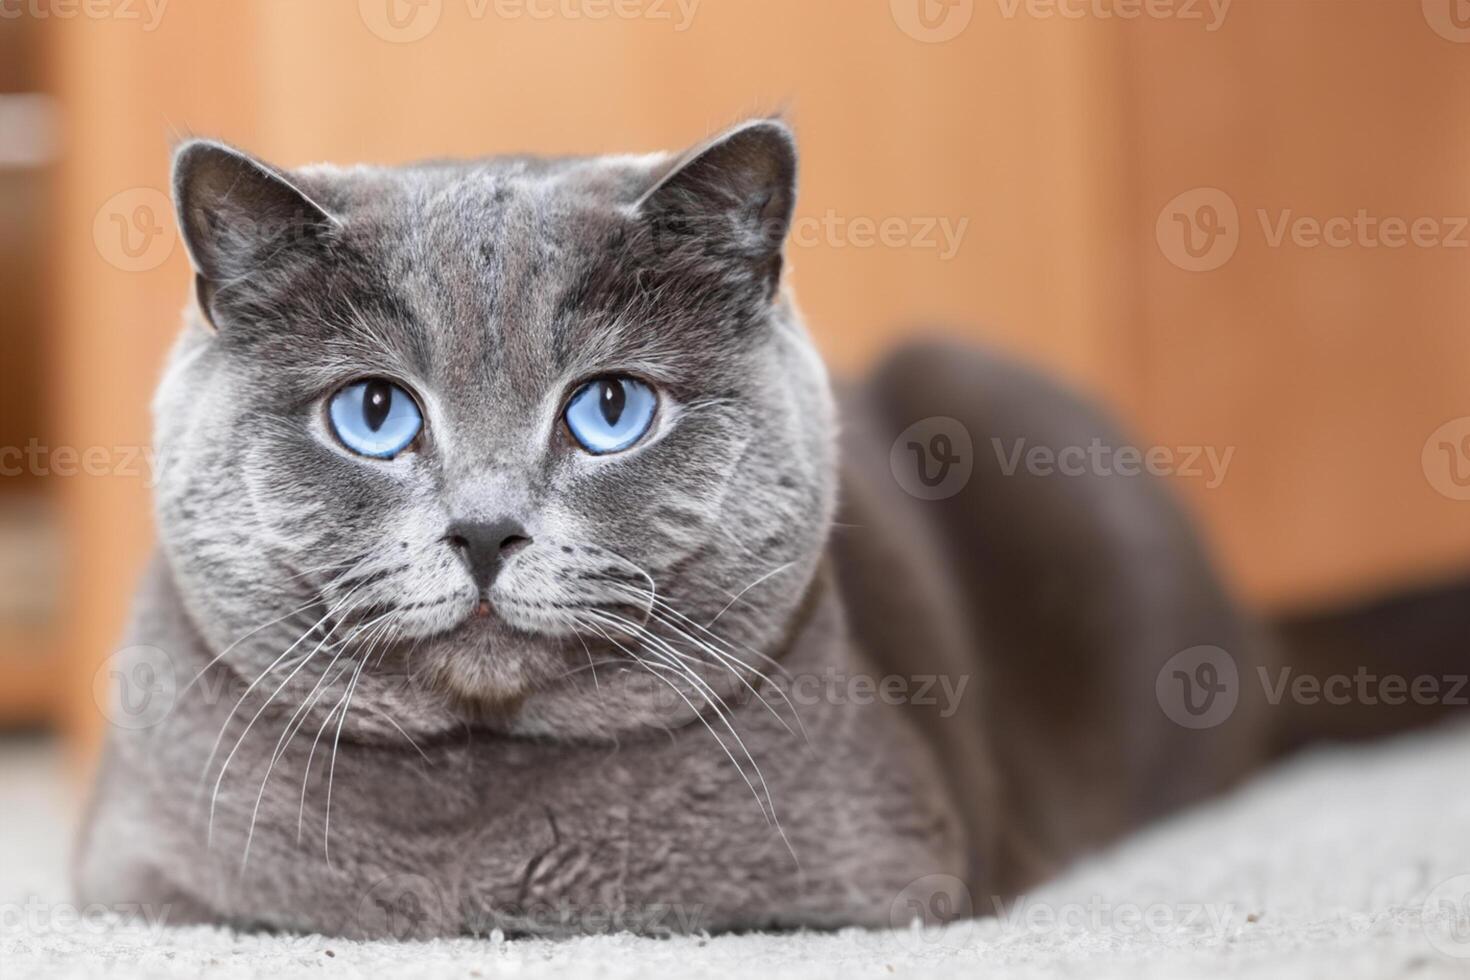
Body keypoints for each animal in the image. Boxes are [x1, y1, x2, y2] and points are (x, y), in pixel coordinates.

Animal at [74, 119, 1440, 940]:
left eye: (610, 408)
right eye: (372, 412)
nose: (485, 530)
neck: (478, 843)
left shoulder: (868, 881)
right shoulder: (137, 883)